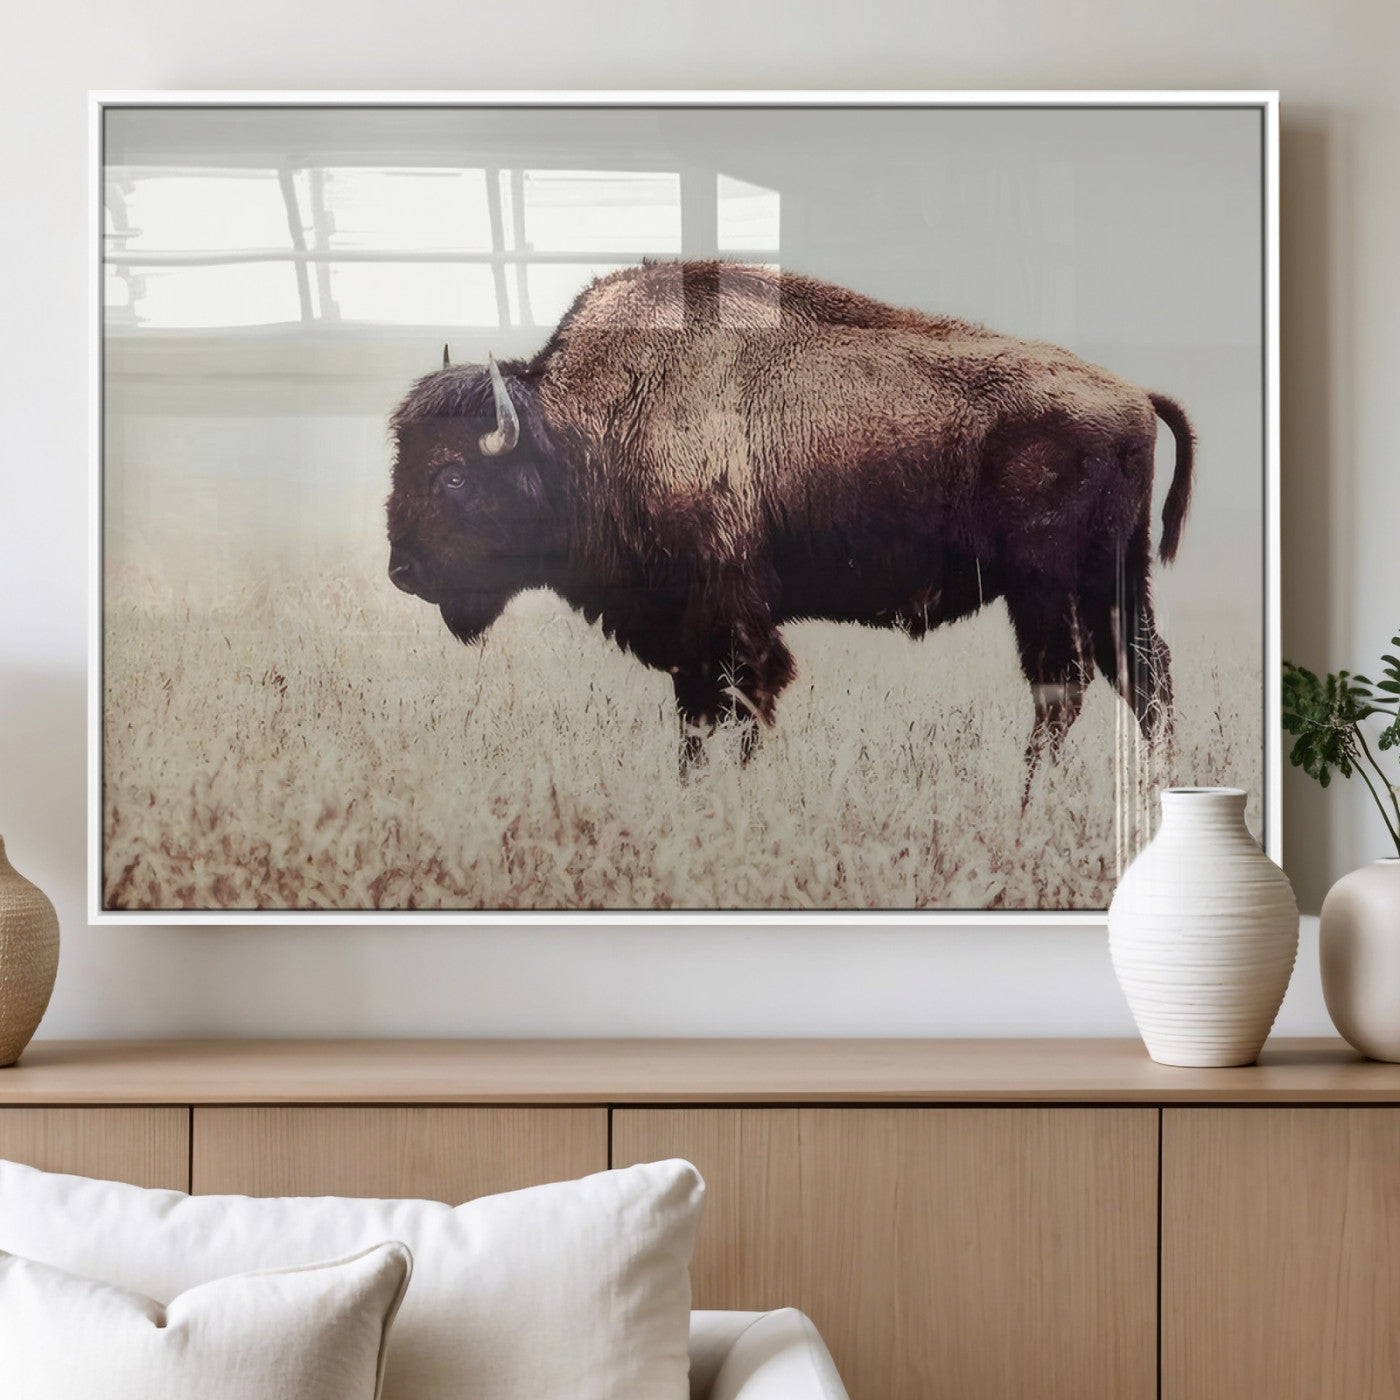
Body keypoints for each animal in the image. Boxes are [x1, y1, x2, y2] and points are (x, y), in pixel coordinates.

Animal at [386, 261, 1193, 779]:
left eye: (453, 475)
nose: (402, 572)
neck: (588, 425)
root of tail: (1133, 393)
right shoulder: (689, 634)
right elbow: (697, 714)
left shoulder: (730, 615)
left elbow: (745, 700)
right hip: (1114, 580)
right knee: (1142, 675)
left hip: (1044, 586)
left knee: (1064, 683)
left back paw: (1029, 798)